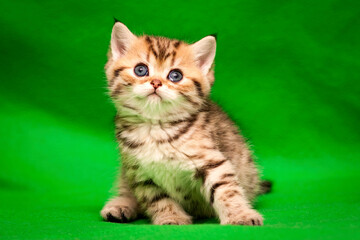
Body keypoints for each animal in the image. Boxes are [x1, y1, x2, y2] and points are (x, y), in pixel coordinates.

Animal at [99, 20, 270, 225]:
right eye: (140, 70)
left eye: (175, 75)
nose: (156, 82)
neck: (155, 128)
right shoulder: (139, 173)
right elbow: (158, 199)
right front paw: (171, 217)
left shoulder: (212, 162)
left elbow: (226, 190)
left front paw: (240, 214)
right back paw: (121, 205)